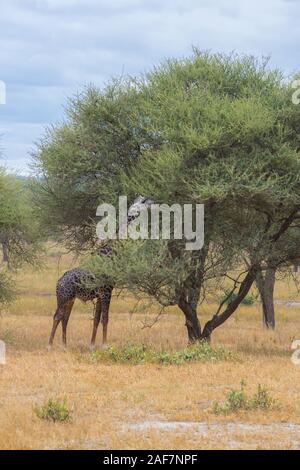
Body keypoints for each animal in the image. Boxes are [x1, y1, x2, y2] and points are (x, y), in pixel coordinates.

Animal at [48, 196, 155, 348]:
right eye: (143, 202)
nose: (153, 202)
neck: (112, 252)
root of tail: (58, 282)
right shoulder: (106, 290)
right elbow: (105, 317)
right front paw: (105, 344)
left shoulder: (100, 293)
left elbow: (96, 319)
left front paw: (92, 344)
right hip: (64, 297)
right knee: (58, 316)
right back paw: (50, 345)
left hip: (70, 299)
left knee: (65, 318)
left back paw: (64, 345)